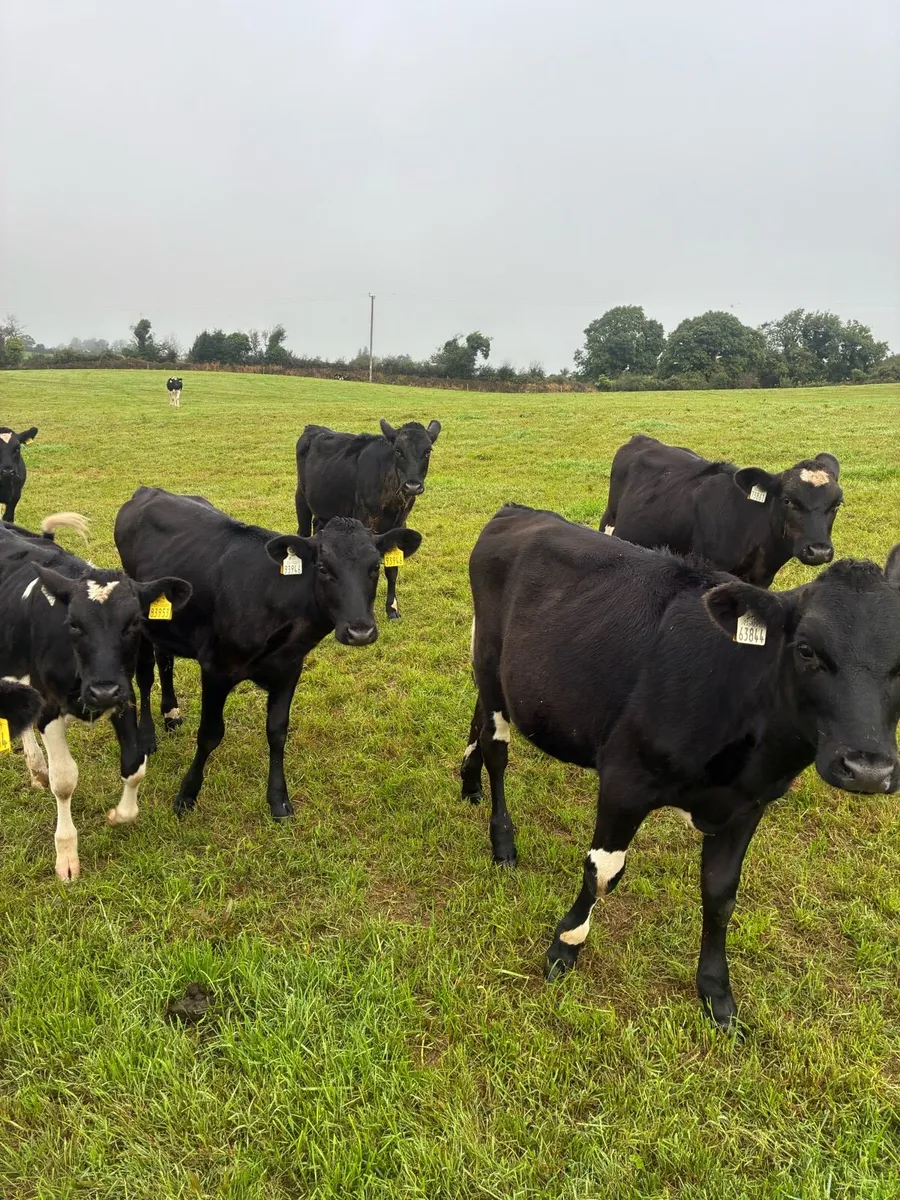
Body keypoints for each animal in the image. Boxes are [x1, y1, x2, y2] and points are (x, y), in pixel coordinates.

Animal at [0, 525, 191, 879]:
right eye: (73, 624)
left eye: (134, 623)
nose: (101, 692)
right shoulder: (50, 707)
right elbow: (63, 782)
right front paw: (66, 855)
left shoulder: (123, 694)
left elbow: (134, 766)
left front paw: (119, 814)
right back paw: (37, 765)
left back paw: (36, 769)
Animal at [114, 486, 422, 822]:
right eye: (323, 568)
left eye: (375, 567)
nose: (360, 631)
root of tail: (150, 491)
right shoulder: (216, 669)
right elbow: (210, 733)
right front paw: (187, 794)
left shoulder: (289, 669)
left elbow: (277, 732)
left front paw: (278, 800)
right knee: (145, 674)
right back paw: (147, 736)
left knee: (165, 659)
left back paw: (171, 713)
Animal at [295, 418, 441, 620]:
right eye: (398, 450)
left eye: (428, 451)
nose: (412, 486)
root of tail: (313, 428)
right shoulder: (364, 521)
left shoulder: (399, 524)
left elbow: (392, 570)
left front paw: (392, 609)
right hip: (301, 497)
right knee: (303, 532)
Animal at [461, 504, 900, 1029]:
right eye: (807, 649)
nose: (868, 769)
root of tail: (518, 510)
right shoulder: (624, 780)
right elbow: (603, 870)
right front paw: (566, 944)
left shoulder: (748, 804)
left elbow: (721, 893)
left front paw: (715, 990)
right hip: (491, 666)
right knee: (497, 749)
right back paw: (502, 839)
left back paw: (468, 782)